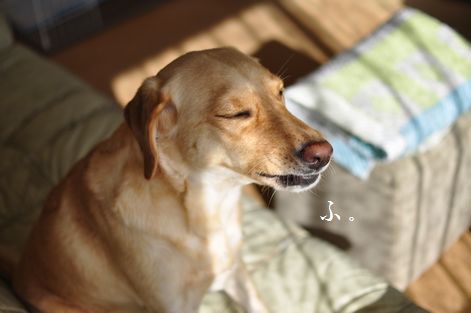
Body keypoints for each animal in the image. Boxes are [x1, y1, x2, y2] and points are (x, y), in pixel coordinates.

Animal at [9, 47, 332, 312]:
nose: (324, 153)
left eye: (281, 93)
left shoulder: (236, 271)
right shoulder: (174, 305)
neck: (210, 208)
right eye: (236, 114)